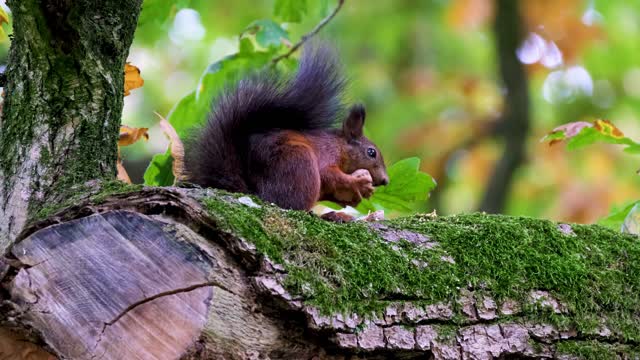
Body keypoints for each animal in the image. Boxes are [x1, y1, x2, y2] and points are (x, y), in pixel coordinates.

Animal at [182, 44, 388, 211]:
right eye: (371, 152)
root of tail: (256, 192)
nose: (385, 181)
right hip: (299, 163)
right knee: (293, 205)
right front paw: (357, 182)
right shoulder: (326, 154)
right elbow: (328, 174)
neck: (340, 147)